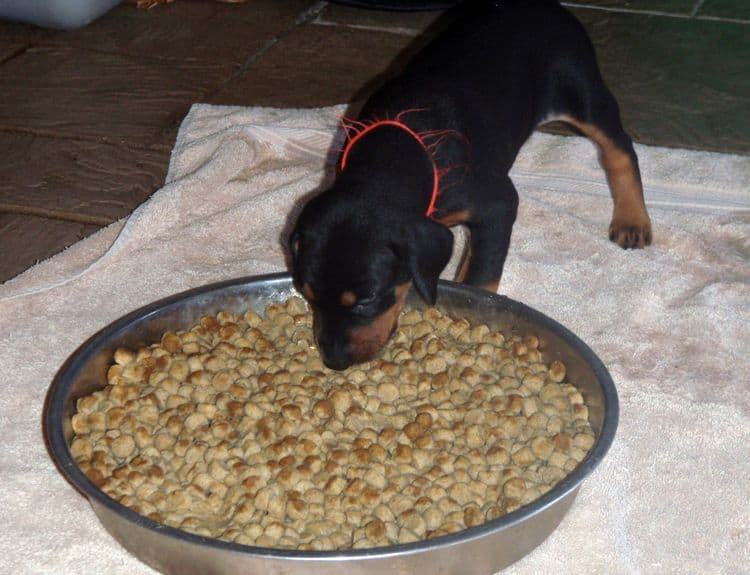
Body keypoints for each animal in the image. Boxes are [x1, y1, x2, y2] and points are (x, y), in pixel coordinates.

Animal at [290, 0, 656, 368]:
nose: (334, 361)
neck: (395, 155)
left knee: (620, 149)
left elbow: (480, 278)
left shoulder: (497, 205)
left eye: (367, 300)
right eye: (308, 295)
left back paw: (632, 220)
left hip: (580, 86)